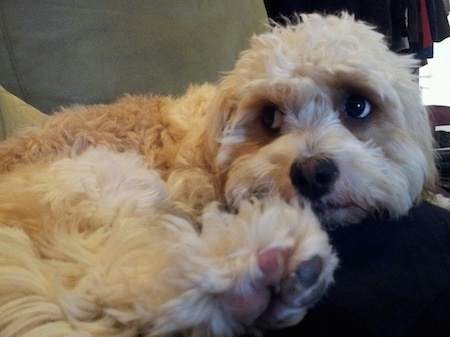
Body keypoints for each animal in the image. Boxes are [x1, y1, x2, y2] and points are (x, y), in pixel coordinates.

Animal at [0, 12, 440, 336]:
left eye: (357, 106)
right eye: (269, 116)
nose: (313, 173)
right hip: (109, 182)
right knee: (105, 280)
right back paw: (248, 276)